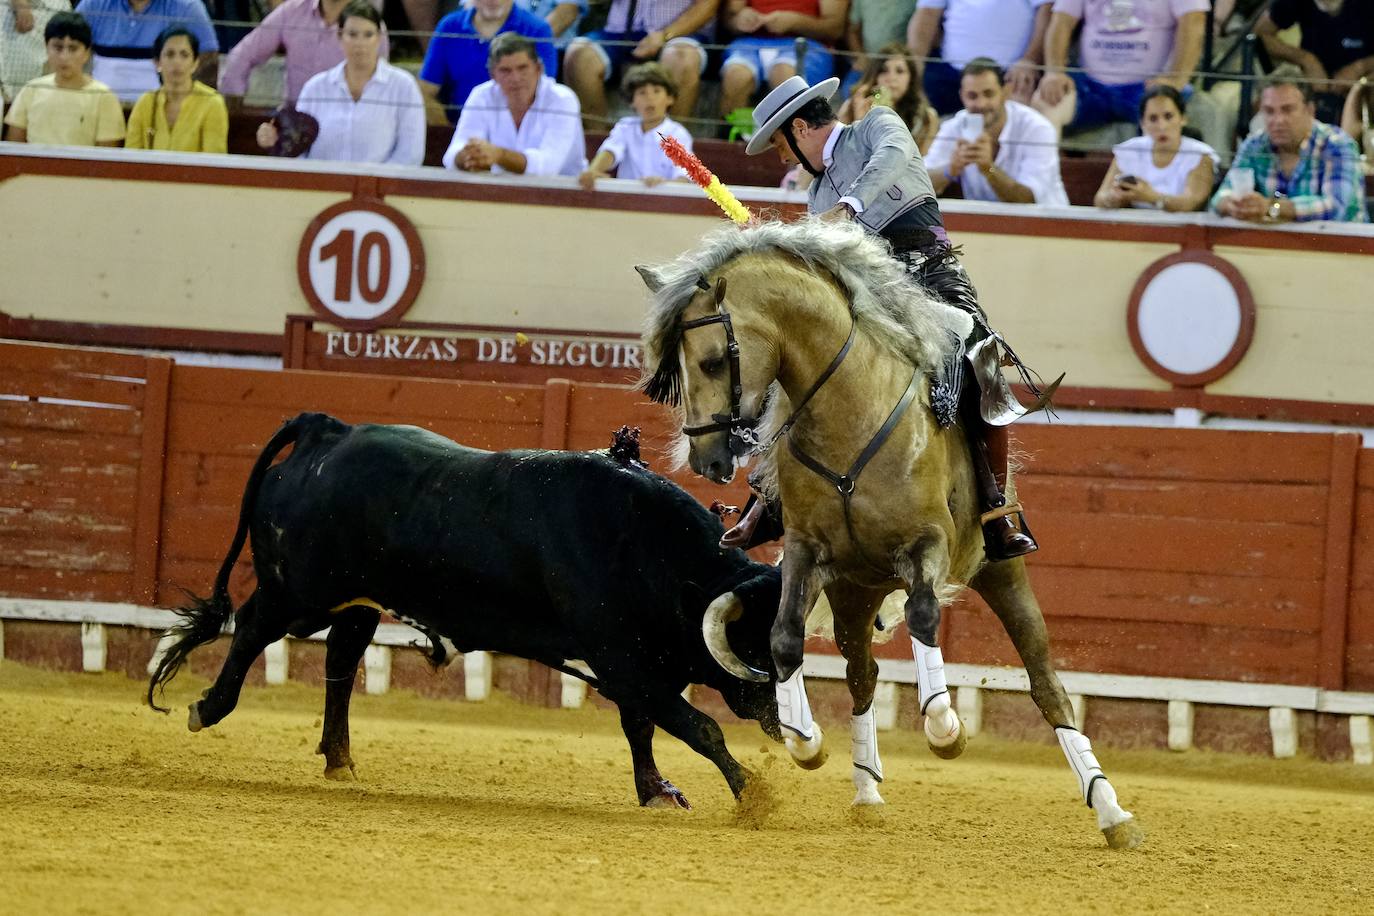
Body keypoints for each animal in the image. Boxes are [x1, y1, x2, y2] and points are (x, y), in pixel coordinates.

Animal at [150, 411, 785, 807]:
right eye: (753, 639)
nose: (779, 723)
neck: (649, 548)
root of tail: (326, 431)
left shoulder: (635, 666)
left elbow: (644, 725)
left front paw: (657, 792)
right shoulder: (621, 660)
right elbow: (694, 725)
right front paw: (753, 792)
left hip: (357, 602)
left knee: (340, 661)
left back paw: (340, 760)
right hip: (298, 592)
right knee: (252, 627)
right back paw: (208, 708)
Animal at [637, 218, 1143, 851]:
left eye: (709, 361)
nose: (706, 459)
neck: (849, 415)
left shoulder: (926, 544)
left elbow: (926, 617)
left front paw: (946, 727)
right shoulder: (807, 552)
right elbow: (784, 638)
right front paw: (805, 741)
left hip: (999, 571)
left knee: (1046, 685)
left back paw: (1111, 812)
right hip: (857, 592)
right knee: (862, 676)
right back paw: (867, 791)